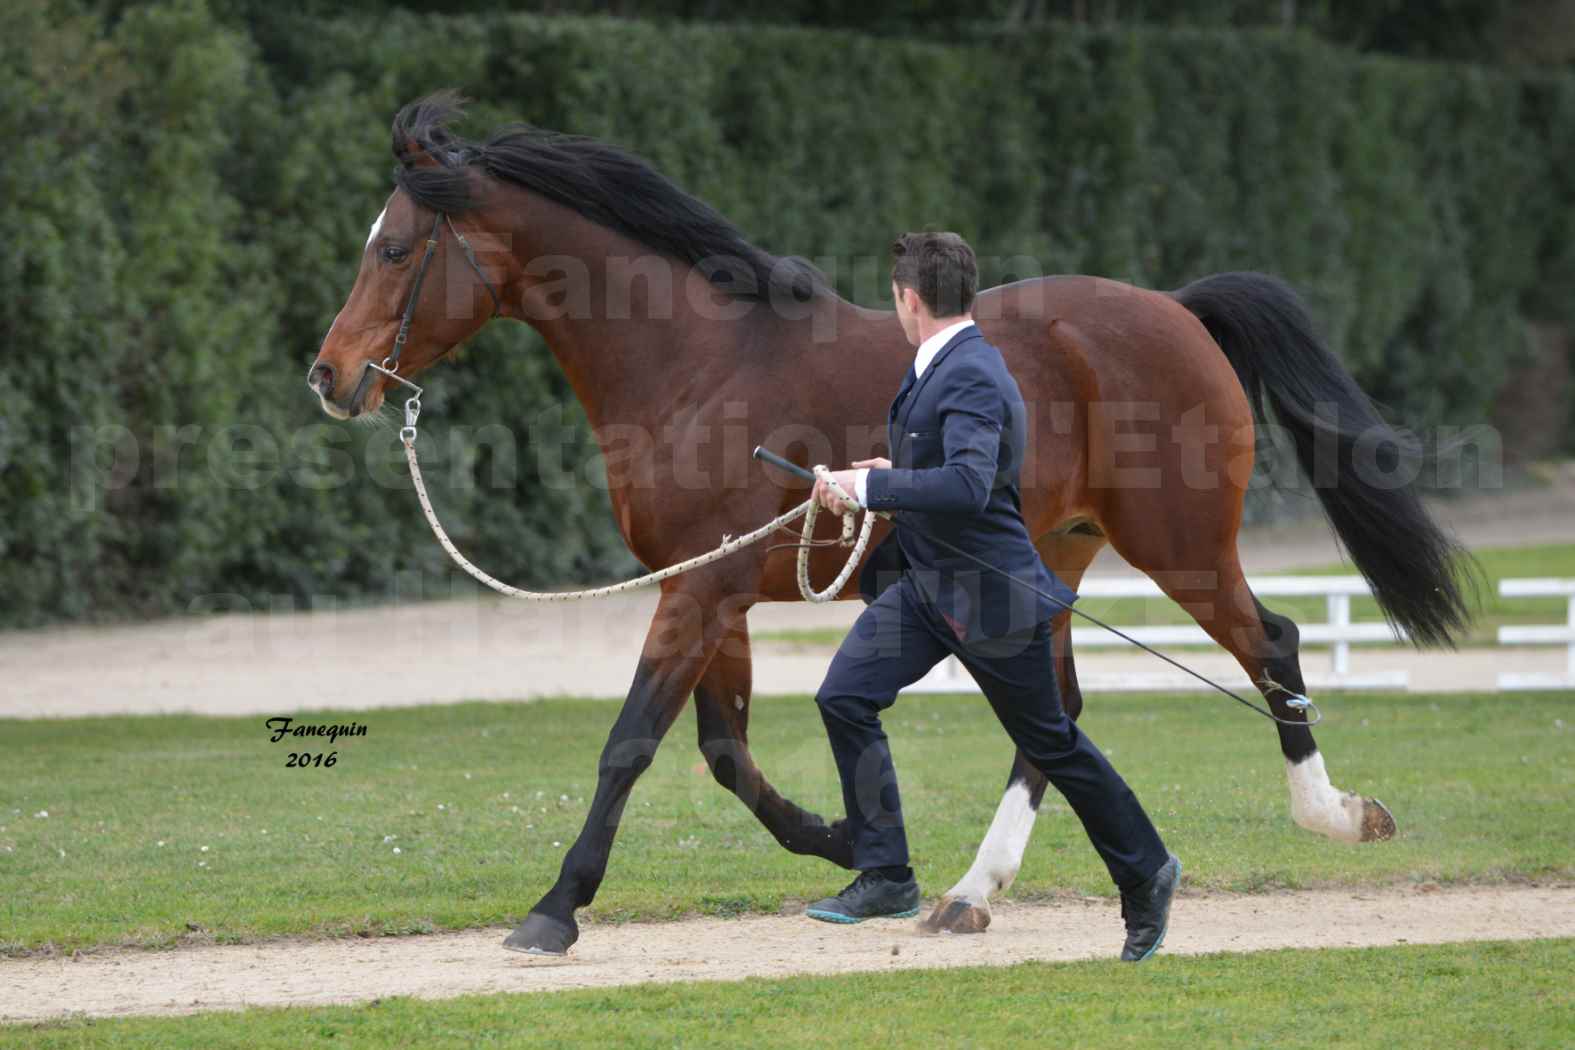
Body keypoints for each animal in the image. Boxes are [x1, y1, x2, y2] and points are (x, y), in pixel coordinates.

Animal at [310, 94, 1474, 957]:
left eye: (396, 248)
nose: (329, 376)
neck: (695, 359)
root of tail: (1179, 310)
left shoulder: (696, 591)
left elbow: (632, 743)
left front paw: (555, 910)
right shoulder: (715, 591)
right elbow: (725, 751)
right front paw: (840, 843)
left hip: (1179, 548)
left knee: (1268, 643)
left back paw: (1335, 815)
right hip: (1048, 564)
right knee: (1056, 714)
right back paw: (967, 894)